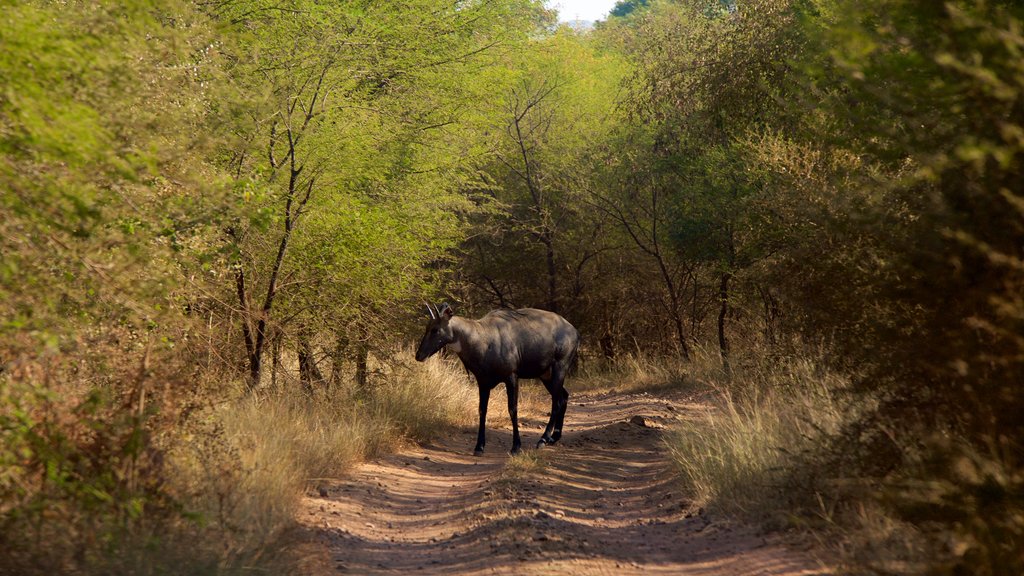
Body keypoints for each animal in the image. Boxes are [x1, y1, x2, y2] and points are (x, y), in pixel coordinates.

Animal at [413, 303, 577, 455]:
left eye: (435, 329)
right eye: (427, 328)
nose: (419, 355)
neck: (482, 338)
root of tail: (574, 331)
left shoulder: (511, 377)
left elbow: (512, 409)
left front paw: (516, 447)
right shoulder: (483, 382)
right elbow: (482, 410)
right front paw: (479, 447)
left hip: (559, 368)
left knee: (557, 401)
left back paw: (543, 439)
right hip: (546, 375)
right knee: (563, 396)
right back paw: (554, 437)